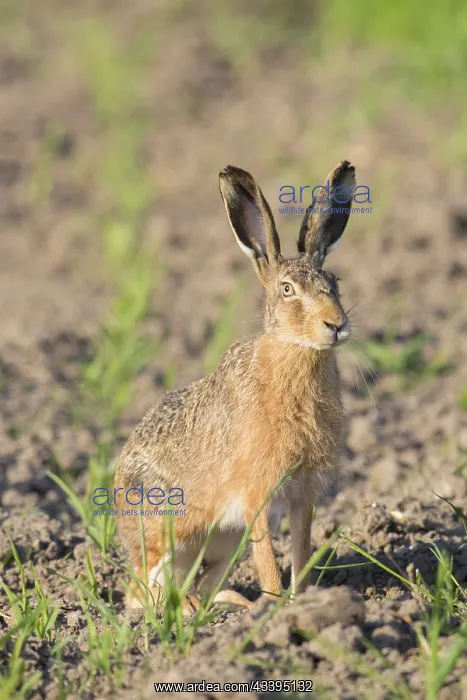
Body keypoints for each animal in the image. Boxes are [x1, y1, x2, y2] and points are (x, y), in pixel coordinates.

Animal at [114, 160, 356, 614]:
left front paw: (303, 601)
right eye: (287, 290)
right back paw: (192, 610)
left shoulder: (303, 495)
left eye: (334, 281)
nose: (336, 324)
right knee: (146, 594)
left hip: (225, 540)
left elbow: (300, 550)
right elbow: (268, 560)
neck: (295, 352)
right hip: (167, 527)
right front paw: (277, 606)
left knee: (204, 582)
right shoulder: (257, 495)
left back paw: (231, 605)